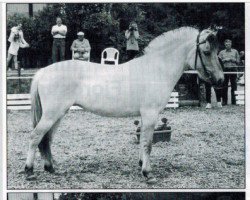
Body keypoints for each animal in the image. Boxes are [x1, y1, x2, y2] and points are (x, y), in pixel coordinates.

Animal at [25, 27, 224, 182]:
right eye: (207, 52)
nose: (221, 79)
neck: (156, 69)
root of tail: (43, 72)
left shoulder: (144, 116)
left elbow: (142, 141)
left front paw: (141, 165)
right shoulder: (151, 114)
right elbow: (148, 143)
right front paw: (148, 173)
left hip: (59, 114)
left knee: (47, 139)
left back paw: (51, 168)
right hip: (52, 114)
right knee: (35, 136)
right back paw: (29, 171)